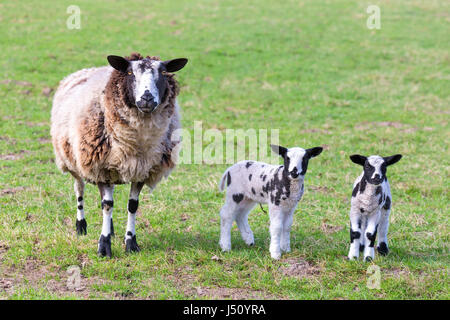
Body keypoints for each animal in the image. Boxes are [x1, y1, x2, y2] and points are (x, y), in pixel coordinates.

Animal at [50, 52, 187, 258]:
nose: (146, 98)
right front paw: (104, 246)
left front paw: (131, 243)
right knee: (79, 190)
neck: (136, 144)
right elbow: (107, 204)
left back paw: (112, 228)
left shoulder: (141, 170)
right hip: (72, 159)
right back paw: (81, 226)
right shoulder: (100, 167)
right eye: (130, 72)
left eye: (163, 72)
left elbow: (132, 206)